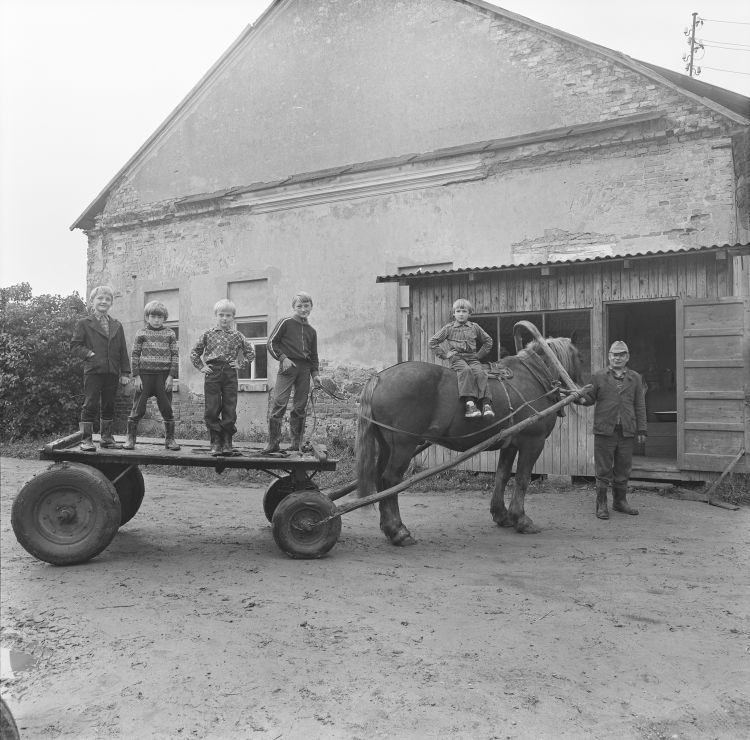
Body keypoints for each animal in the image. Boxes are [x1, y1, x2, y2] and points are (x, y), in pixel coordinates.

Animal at [356, 338, 584, 548]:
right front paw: (521, 519)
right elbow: (522, 479)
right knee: (390, 480)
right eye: (579, 357)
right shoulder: (532, 443)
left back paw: (388, 528)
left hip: (388, 445)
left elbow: (502, 476)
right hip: (403, 446)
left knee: (380, 479)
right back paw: (398, 531)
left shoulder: (510, 443)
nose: (585, 394)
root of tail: (380, 377)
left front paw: (501, 515)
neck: (533, 376)